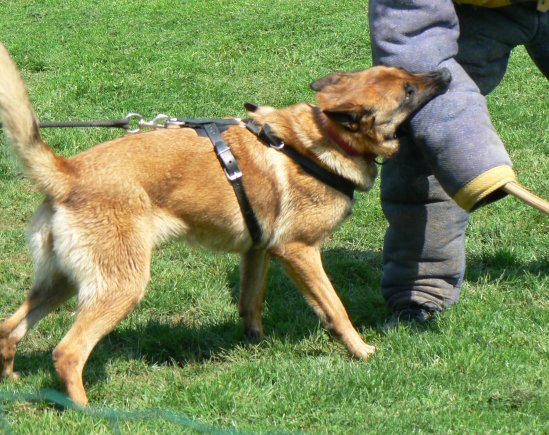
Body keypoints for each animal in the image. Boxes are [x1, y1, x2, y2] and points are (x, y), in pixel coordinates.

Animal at [0, 42, 450, 408]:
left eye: (405, 75)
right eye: (408, 92)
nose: (444, 74)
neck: (321, 139)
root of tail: (67, 172)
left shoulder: (258, 251)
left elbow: (251, 302)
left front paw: (257, 344)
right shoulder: (299, 250)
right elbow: (336, 308)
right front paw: (360, 351)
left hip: (61, 282)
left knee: (9, 330)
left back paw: (12, 380)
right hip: (121, 286)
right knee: (67, 352)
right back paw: (87, 411)